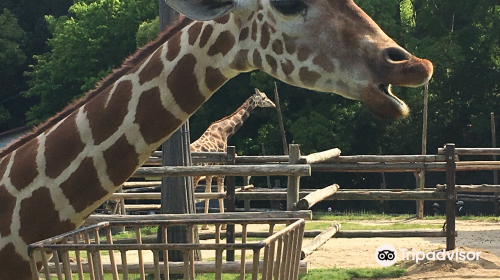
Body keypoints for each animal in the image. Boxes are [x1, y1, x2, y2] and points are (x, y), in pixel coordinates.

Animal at [191, 87, 278, 225]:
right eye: (263, 98)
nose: (273, 104)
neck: (225, 132)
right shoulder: (221, 165)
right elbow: (221, 192)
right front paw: (223, 223)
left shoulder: (210, 169)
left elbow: (208, 192)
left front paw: (206, 224)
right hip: (195, 175)